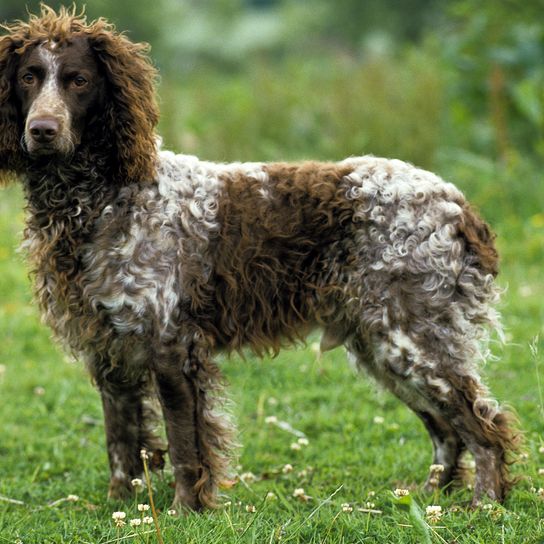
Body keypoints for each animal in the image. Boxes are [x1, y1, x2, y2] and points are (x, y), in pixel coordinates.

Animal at [0, 6, 520, 512]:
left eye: (78, 80)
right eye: (28, 77)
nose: (41, 130)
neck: (101, 199)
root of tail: (458, 206)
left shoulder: (170, 347)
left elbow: (185, 447)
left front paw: (185, 512)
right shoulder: (109, 352)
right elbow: (122, 445)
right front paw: (120, 509)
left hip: (410, 340)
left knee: (484, 426)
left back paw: (485, 505)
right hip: (383, 346)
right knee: (447, 431)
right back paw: (430, 500)